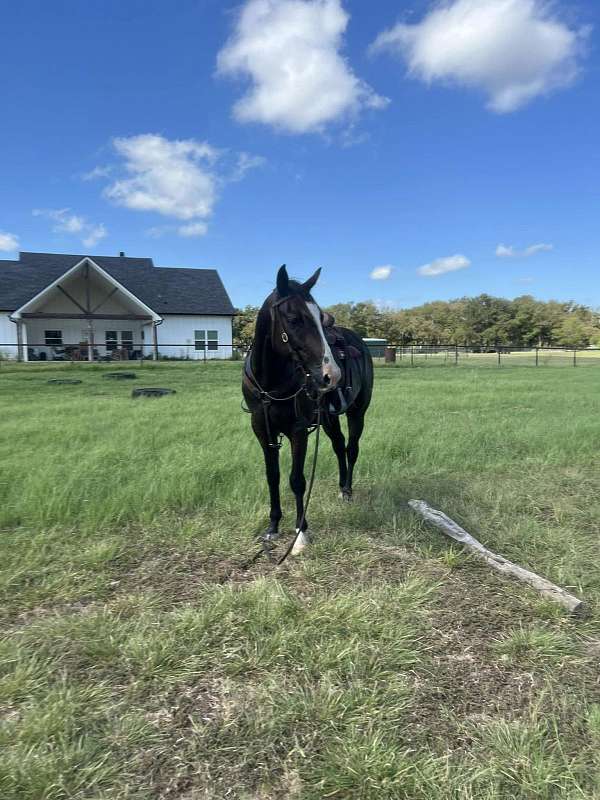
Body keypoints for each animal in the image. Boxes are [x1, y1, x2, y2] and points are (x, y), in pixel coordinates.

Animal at [241, 266, 372, 552]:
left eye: (319, 317)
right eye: (293, 318)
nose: (331, 375)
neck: (270, 383)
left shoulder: (298, 431)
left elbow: (297, 480)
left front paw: (301, 533)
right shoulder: (262, 430)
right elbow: (273, 476)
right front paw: (273, 527)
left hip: (357, 412)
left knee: (351, 448)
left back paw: (348, 491)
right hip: (329, 419)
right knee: (339, 445)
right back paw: (341, 487)